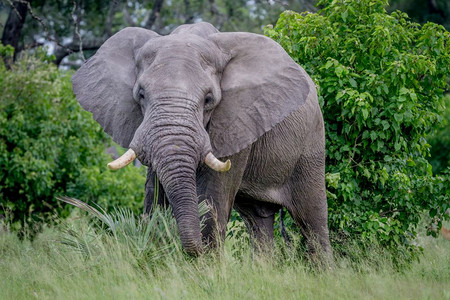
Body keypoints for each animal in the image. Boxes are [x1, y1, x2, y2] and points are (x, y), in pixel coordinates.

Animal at [73, 21, 330, 255]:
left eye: (208, 100)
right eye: (141, 95)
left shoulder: (236, 120)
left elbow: (212, 198)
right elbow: (154, 195)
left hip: (311, 144)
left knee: (312, 220)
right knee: (258, 221)